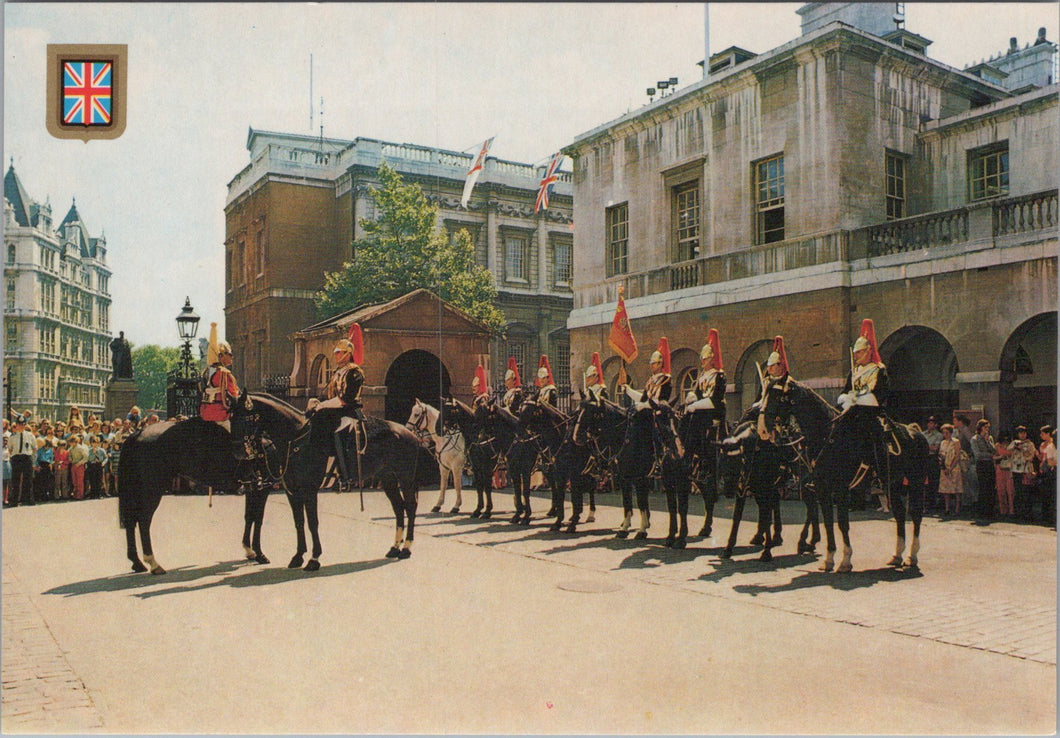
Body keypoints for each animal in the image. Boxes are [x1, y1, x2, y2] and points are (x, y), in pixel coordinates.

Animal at [118, 411, 271, 572]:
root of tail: (138, 433)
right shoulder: (263, 488)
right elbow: (258, 519)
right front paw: (260, 554)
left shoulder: (253, 489)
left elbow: (249, 517)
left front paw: (249, 550)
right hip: (151, 491)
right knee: (143, 520)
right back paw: (153, 563)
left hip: (137, 490)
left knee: (131, 520)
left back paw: (137, 562)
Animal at [230, 390, 423, 568]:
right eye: (231, 417)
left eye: (244, 418)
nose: (238, 452)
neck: (295, 439)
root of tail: (410, 433)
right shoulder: (292, 491)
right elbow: (299, 522)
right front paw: (298, 556)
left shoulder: (309, 490)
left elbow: (312, 522)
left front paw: (314, 558)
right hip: (388, 479)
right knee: (398, 507)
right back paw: (395, 547)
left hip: (405, 478)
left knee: (410, 506)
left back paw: (406, 548)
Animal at [763, 377, 928, 572]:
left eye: (778, 396)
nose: (764, 427)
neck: (827, 436)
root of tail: (917, 432)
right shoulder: (822, 488)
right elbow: (828, 522)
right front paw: (828, 559)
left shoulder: (840, 488)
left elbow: (842, 523)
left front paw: (845, 560)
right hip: (892, 483)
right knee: (900, 514)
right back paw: (896, 555)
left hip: (915, 482)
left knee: (915, 514)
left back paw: (912, 556)